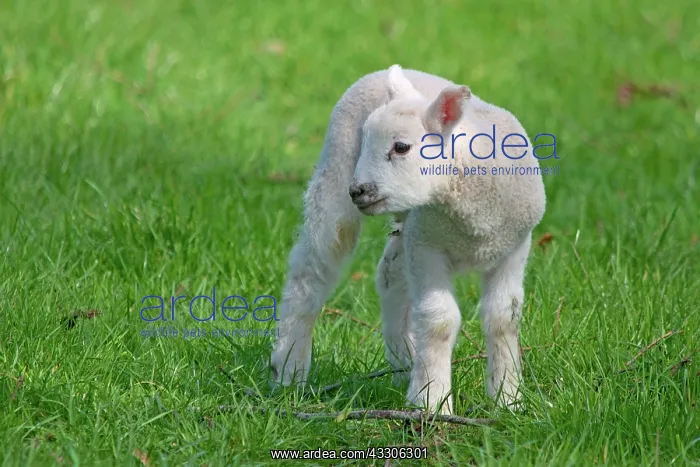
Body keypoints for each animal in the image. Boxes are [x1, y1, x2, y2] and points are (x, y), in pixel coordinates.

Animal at [269, 65, 546, 414]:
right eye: (366, 142)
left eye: (401, 147)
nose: (358, 191)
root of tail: (380, 73)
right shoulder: (427, 246)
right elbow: (439, 320)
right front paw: (432, 401)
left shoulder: (514, 246)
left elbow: (503, 318)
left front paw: (508, 400)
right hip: (336, 171)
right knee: (310, 271)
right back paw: (288, 370)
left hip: (409, 226)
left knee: (390, 273)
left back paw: (404, 363)